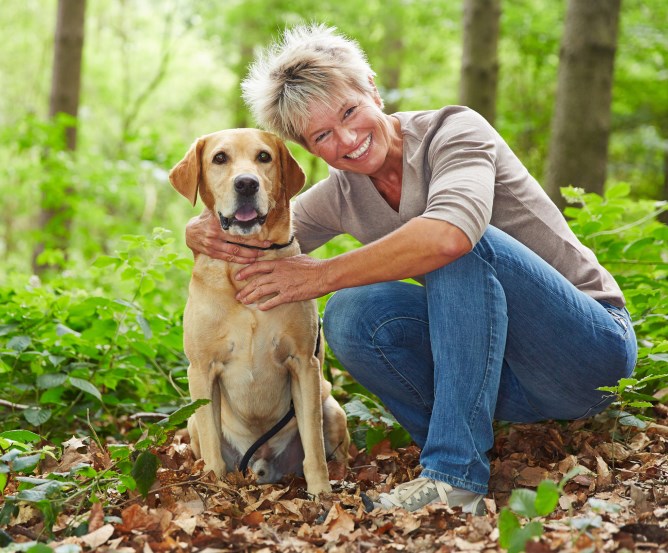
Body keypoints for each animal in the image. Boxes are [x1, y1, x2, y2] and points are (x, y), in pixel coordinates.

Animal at [168, 128, 350, 492]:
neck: (247, 261)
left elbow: (314, 447)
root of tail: (262, 465)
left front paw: (321, 493)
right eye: (219, 158)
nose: (246, 184)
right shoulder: (201, 369)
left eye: (263, 156)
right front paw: (215, 488)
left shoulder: (304, 363)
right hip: (192, 420)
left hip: (333, 407)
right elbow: (212, 447)